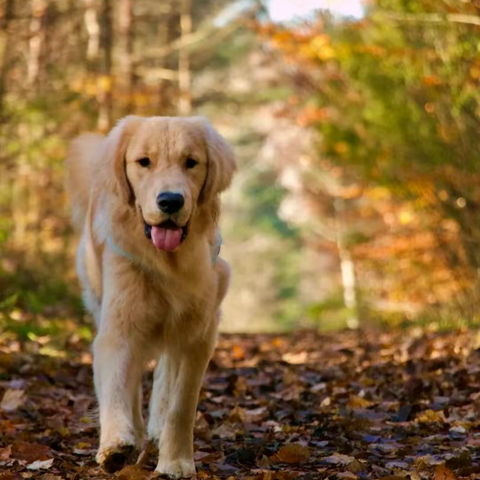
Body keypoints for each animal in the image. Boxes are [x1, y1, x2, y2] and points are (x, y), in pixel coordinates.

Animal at [65, 115, 234, 476]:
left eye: (191, 162)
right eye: (144, 162)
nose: (170, 201)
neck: (168, 263)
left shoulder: (200, 332)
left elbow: (181, 405)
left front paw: (177, 461)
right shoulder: (118, 326)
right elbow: (117, 384)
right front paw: (116, 444)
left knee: (165, 373)